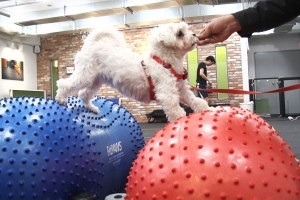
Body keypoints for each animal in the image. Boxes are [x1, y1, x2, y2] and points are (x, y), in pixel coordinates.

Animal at [55, 21, 211, 122]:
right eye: (180, 33)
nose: (195, 34)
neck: (165, 61)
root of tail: (91, 44)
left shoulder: (183, 90)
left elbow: (198, 102)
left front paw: (209, 110)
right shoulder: (168, 95)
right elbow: (176, 111)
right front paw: (179, 123)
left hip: (95, 81)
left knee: (83, 94)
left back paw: (92, 108)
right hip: (84, 76)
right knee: (64, 84)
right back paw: (61, 98)